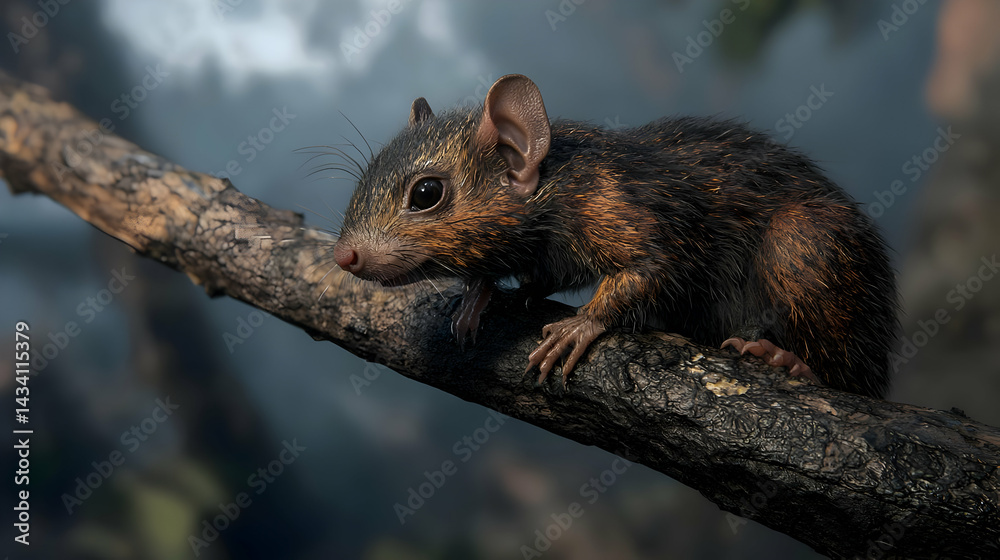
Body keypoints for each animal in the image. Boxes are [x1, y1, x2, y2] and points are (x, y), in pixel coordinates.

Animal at [332, 74, 899, 398]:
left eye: (426, 193)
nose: (343, 256)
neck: (555, 178)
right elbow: (532, 276)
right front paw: (479, 294)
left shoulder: (616, 206)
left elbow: (653, 266)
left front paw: (579, 326)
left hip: (805, 248)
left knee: (849, 375)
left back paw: (789, 360)